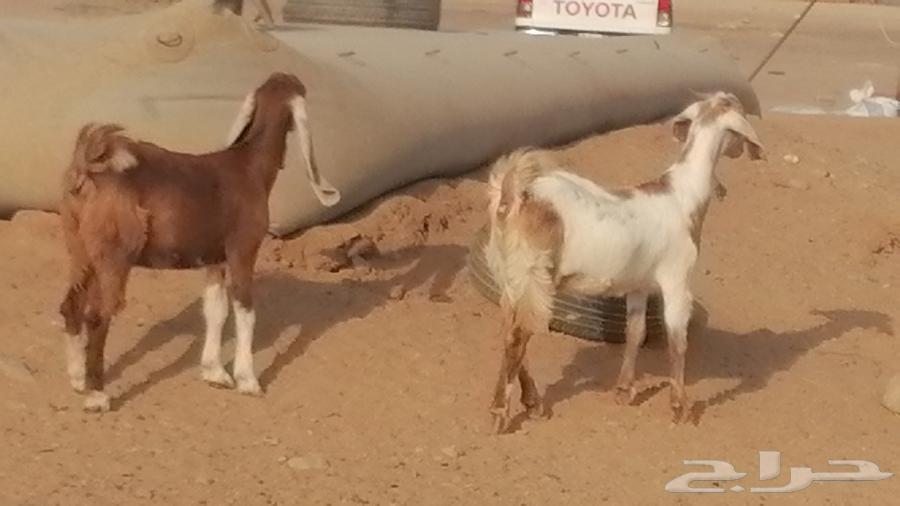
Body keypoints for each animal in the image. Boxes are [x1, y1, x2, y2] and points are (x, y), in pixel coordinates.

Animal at [58, 72, 340, 412]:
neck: (250, 165)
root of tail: (89, 168)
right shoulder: (242, 250)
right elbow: (245, 310)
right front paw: (248, 380)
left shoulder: (214, 259)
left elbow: (215, 309)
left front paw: (214, 373)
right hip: (114, 257)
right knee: (97, 317)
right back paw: (97, 395)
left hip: (80, 250)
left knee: (70, 305)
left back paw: (77, 379)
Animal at [484, 92, 765, 432]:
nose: (743, 152)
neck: (682, 196)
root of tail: (512, 197)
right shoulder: (676, 279)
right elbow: (677, 340)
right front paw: (680, 408)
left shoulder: (639, 286)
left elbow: (636, 332)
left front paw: (624, 390)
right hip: (532, 273)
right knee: (517, 336)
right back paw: (500, 413)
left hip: (510, 278)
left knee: (510, 329)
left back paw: (533, 402)